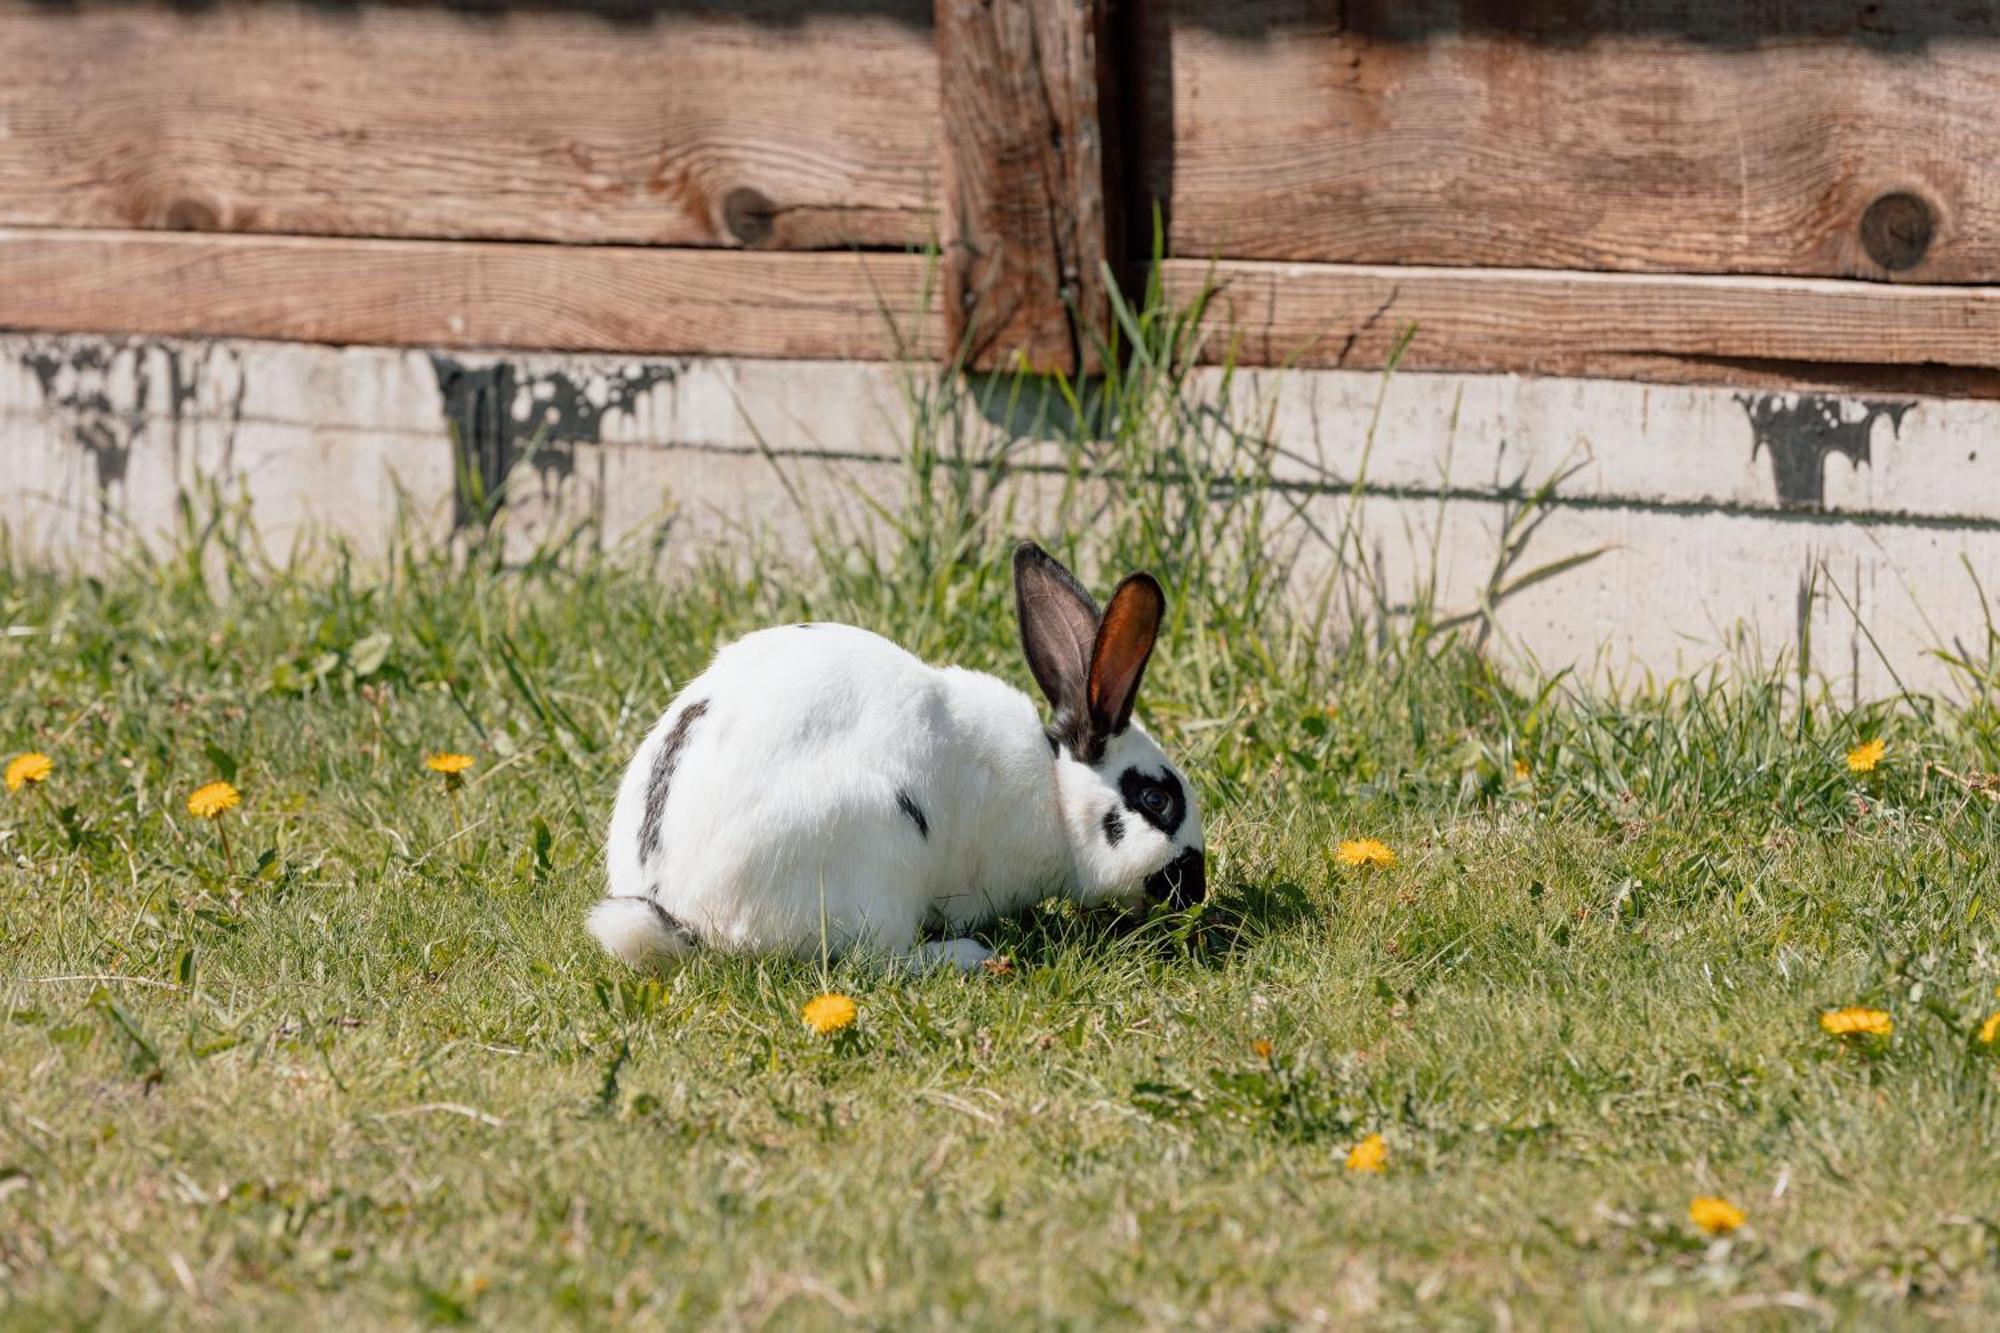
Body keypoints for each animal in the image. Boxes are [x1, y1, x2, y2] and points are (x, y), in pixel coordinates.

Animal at [584, 536, 1208, 964]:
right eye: (1156, 800)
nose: (1194, 890)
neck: (1056, 796)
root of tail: (680, 915)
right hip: (879, 848)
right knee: (876, 961)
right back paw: (968, 956)